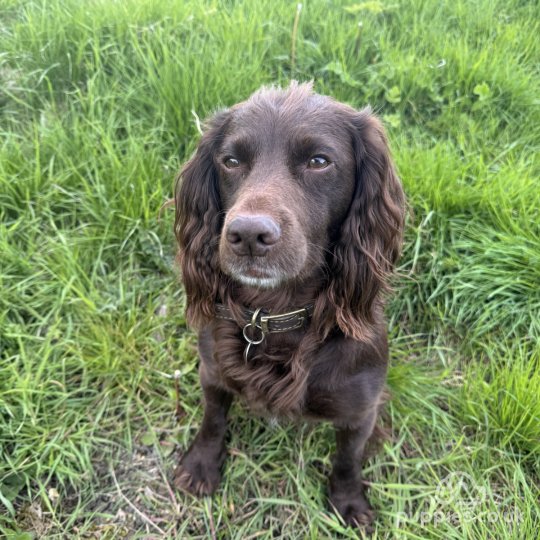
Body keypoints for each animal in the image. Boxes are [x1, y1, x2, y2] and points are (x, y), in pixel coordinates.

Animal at [173, 82, 404, 528]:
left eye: (319, 161)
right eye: (230, 161)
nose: (248, 235)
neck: (274, 311)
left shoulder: (361, 410)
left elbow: (347, 459)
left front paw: (348, 501)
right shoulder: (212, 371)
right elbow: (213, 419)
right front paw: (201, 465)